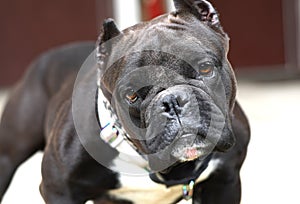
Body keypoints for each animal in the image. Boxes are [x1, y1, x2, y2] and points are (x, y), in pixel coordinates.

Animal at [0, 0, 248, 203]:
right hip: (8, 155)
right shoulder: (59, 189)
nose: (172, 101)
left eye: (205, 68)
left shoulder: (224, 183)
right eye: (132, 95)